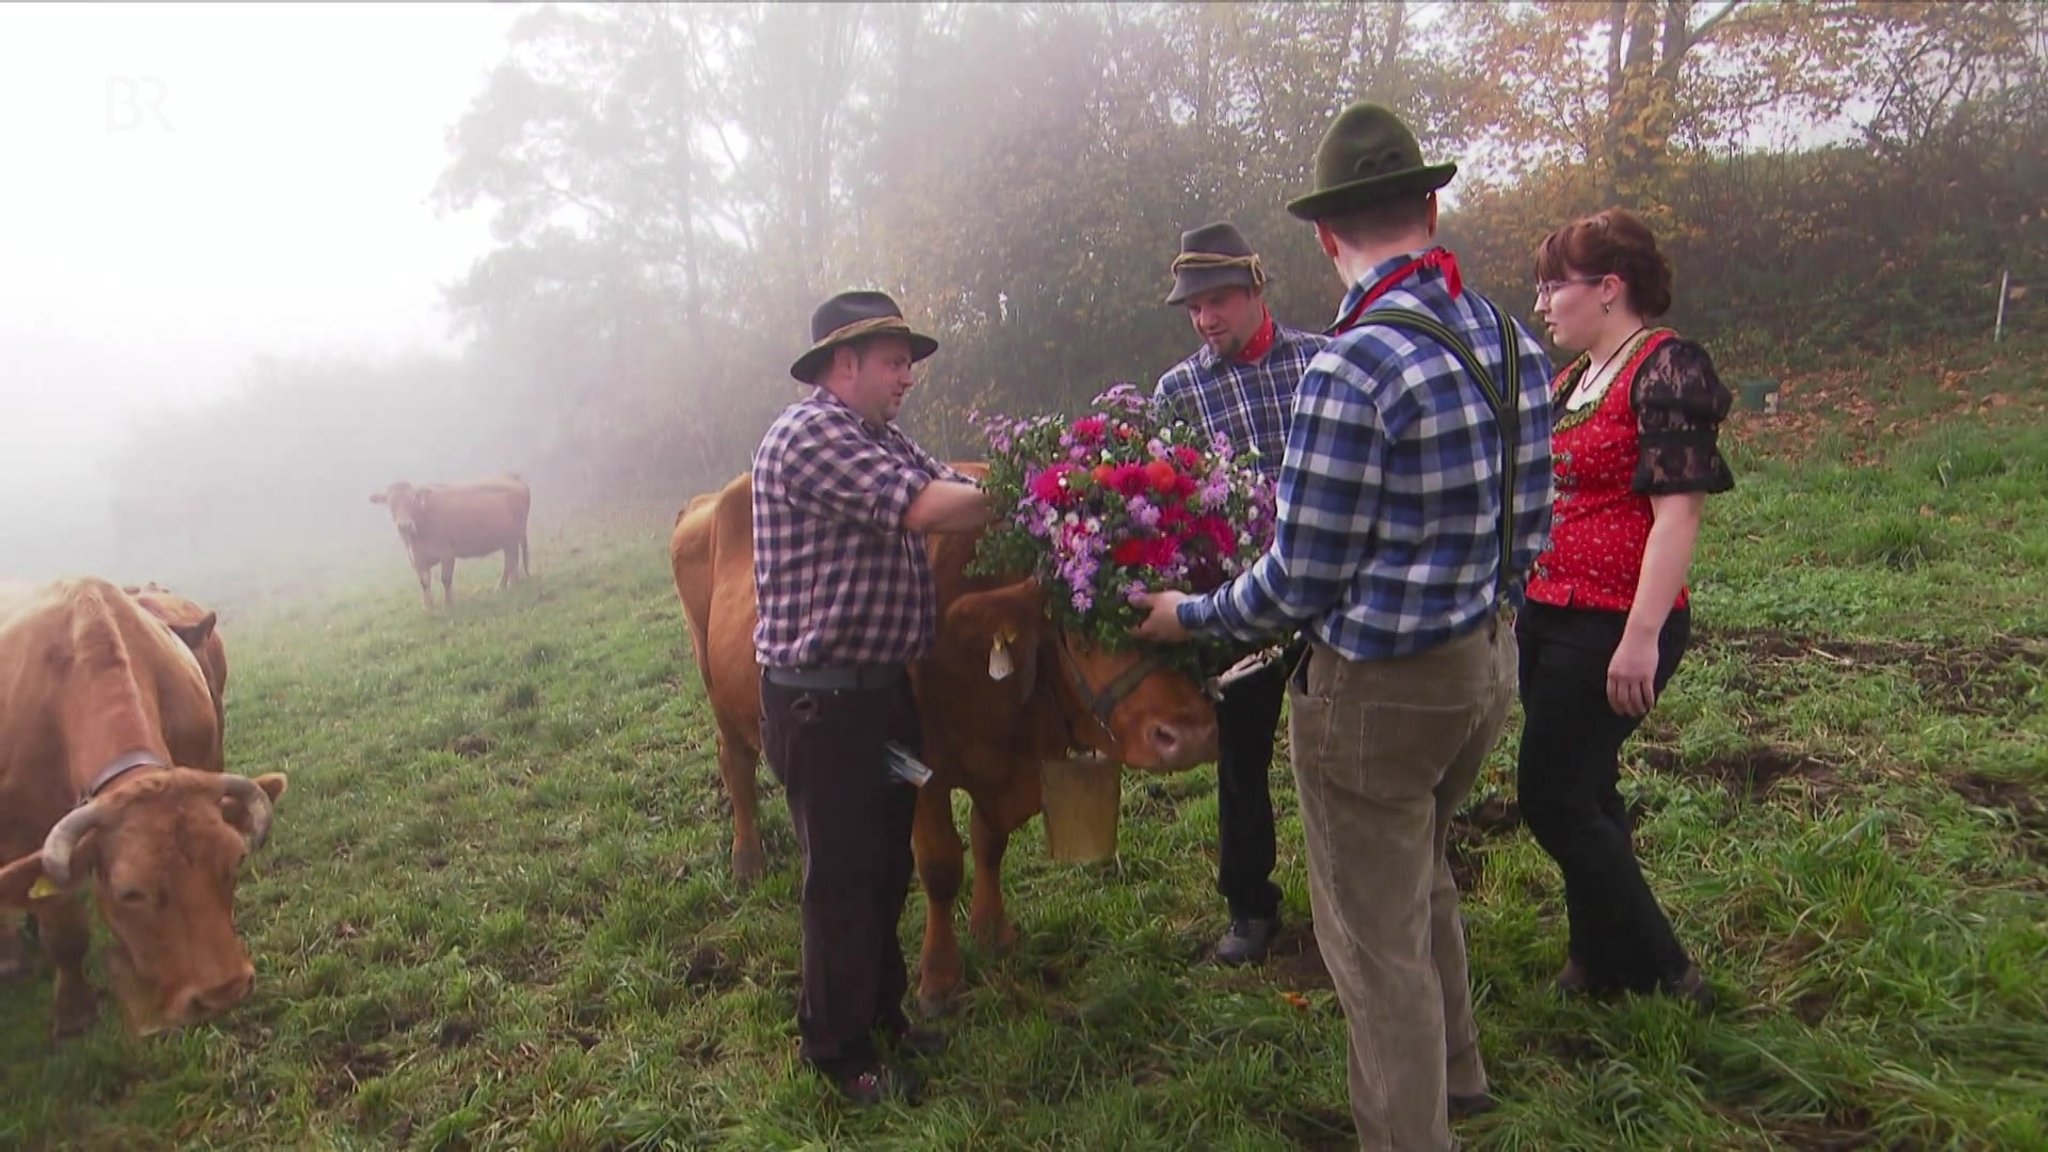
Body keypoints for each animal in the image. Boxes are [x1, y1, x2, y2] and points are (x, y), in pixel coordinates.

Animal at [0, 578, 290, 1037]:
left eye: (236, 861)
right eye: (130, 893)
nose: (224, 990)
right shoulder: (24, 837)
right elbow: (65, 929)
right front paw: (74, 1010)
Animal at [368, 471, 532, 610]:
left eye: (413, 499)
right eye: (390, 503)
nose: (404, 525)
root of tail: (511, 476)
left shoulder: (447, 552)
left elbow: (445, 579)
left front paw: (448, 604)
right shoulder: (416, 558)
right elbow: (424, 582)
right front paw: (427, 606)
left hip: (513, 537)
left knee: (512, 560)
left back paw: (511, 585)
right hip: (506, 540)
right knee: (509, 561)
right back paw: (502, 586)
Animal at [671, 461, 1212, 1008]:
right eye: (1077, 629)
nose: (1190, 732)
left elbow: (989, 842)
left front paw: (994, 931)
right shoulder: (921, 769)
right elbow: (940, 864)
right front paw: (939, 977)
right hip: (714, 684)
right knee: (734, 762)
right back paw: (748, 859)